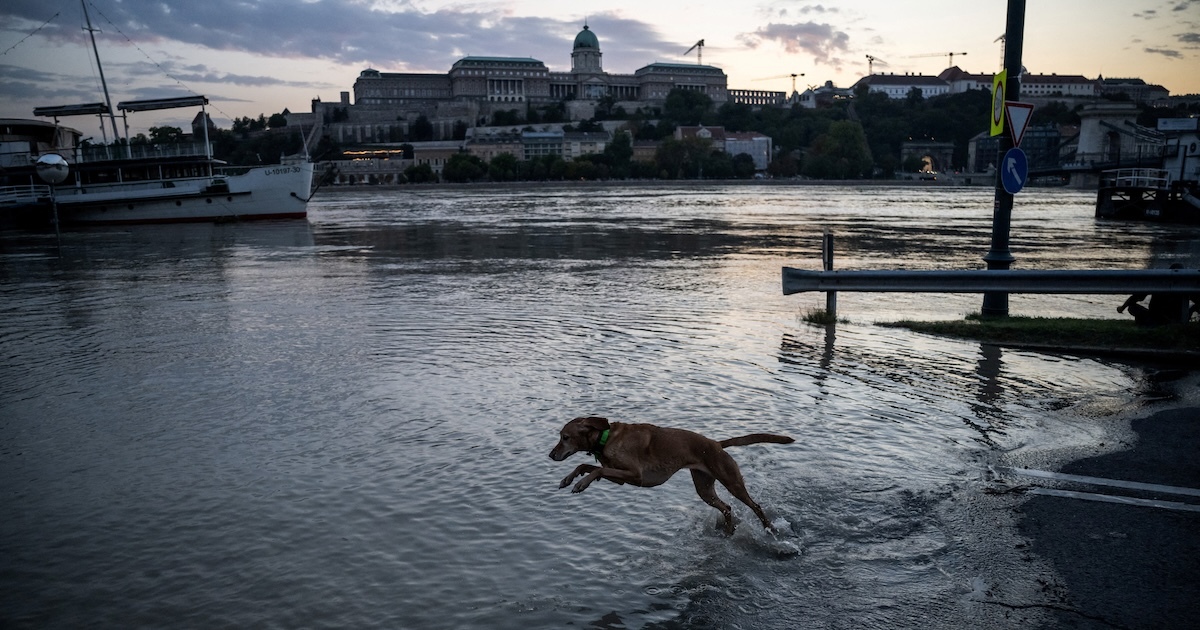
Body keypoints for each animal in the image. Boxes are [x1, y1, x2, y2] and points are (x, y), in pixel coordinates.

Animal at [549, 415, 792, 532]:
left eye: (565, 437)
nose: (551, 455)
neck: (606, 438)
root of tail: (716, 444)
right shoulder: (619, 477)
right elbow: (585, 466)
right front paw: (568, 479)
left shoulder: (634, 474)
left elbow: (596, 468)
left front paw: (581, 484)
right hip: (705, 489)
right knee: (727, 508)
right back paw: (728, 531)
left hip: (732, 482)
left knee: (755, 506)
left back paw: (770, 529)